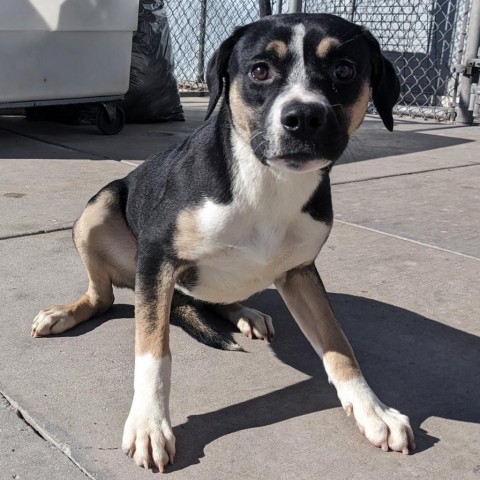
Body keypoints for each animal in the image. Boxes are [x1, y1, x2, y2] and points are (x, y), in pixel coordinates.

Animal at [32, 13, 416, 470]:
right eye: (259, 70)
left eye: (344, 70)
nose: (304, 117)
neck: (266, 182)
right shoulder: (157, 259)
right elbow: (153, 351)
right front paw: (148, 423)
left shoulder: (300, 273)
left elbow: (339, 344)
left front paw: (373, 410)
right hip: (100, 207)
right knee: (104, 297)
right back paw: (66, 313)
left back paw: (246, 313)